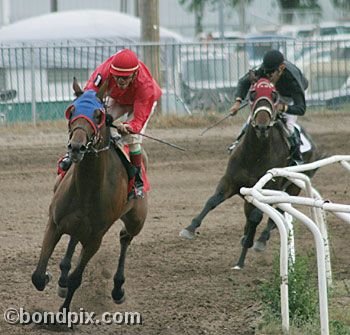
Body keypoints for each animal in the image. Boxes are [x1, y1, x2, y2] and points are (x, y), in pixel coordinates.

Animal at [31, 79, 148, 312]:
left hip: (136, 219)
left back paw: (118, 289)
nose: (76, 147)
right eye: (72, 110)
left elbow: (76, 278)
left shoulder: (95, 239)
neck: (87, 188)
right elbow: (38, 276)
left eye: (98, 115)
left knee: (125, 237)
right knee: (75, 238)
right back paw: (62, 276)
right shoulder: (54, 223)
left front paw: (63, 313)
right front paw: (50, 276)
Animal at [182, 77, 322, 270]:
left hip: (294, 186)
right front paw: (190, 228)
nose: (262, 126)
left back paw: (260, 239)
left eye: (274, 94)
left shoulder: (266, 188)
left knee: (276, 214)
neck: (255, 154)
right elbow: (212, 201)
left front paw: (242, 257)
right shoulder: (230, 181)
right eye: (253, 93)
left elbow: (257, 217)